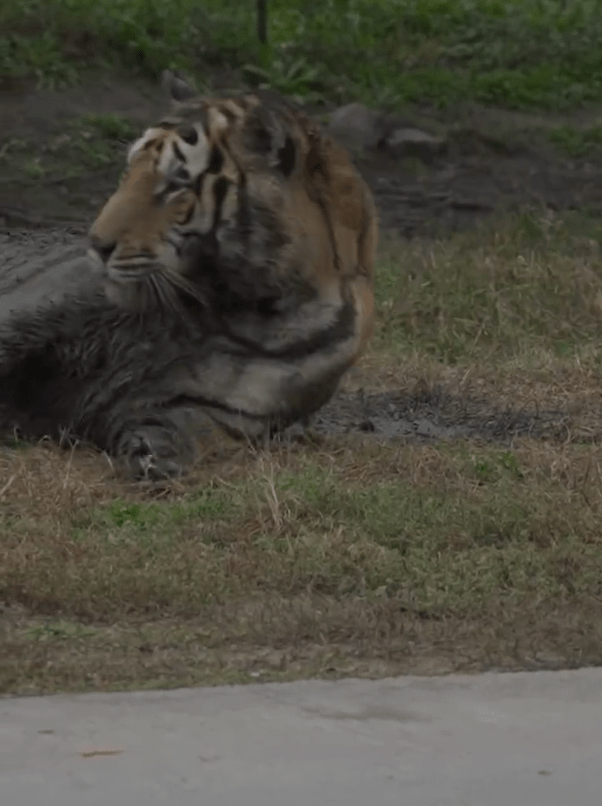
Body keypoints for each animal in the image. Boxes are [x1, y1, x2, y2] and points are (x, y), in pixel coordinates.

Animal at [0, 71, 377, 479]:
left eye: (176, 184)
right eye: (129, 171)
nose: (96, 244)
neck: (242, 308)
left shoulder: (211, 412)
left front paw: (154, 459)